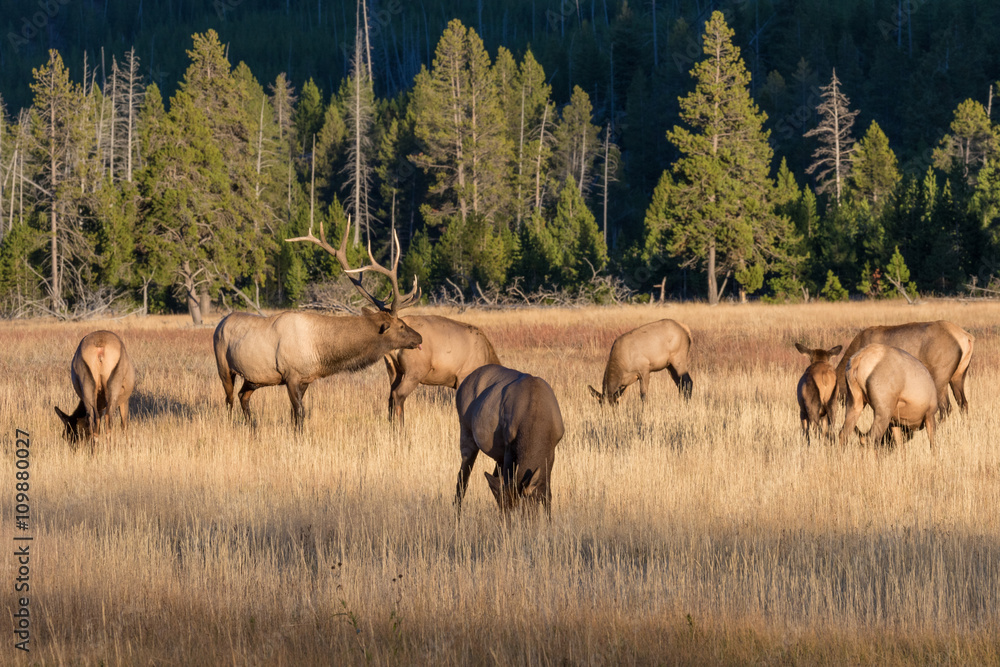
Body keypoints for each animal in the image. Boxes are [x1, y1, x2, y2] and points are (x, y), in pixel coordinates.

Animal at [213, 217, 422, 429]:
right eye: (401, 326)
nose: (419, 337)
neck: (321, 351)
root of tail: (220, 323)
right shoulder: (291, 375)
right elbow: (299, 413)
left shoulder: (306, 379)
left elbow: (294, 414)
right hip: (224, 366)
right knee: (229, 399)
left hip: (254, 377)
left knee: (243, 396)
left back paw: (253, 425)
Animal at [455, 365, 564, 517]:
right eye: (508, 509)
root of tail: (461, 386)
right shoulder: (509, 447)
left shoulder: (552, 449)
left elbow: (547, 494)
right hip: (466, 431)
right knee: (462, 479)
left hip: (497, 456)